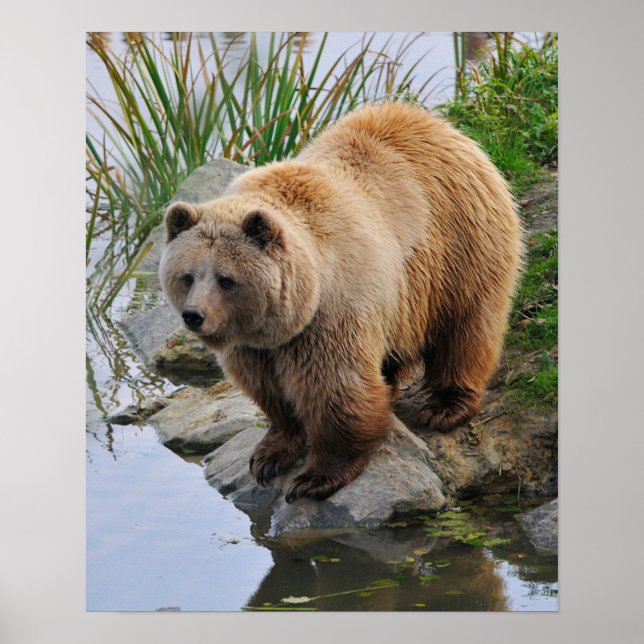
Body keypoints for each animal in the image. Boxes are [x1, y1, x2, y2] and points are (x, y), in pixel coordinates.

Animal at [159, 101, 523, 503]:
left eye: (226, 279)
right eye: (187, 276)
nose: (194, 315)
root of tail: (435, 123)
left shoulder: (330, 313)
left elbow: (335, 389)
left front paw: (315, 477)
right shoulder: (254, 344)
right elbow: (269, 391)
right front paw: (269, 455)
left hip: (458, 245)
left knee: (465, 327)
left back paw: (446, 406)